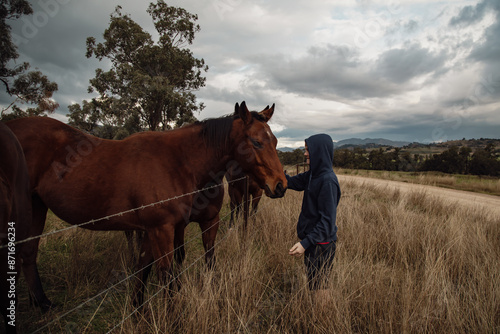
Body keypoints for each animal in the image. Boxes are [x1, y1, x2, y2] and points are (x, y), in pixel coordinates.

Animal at [4, 102, 286, 308]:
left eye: (275, 142)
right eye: (256, 142)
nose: (280, 184)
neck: (180, 162)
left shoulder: (177, 227)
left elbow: (154, 269)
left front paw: (139, 308)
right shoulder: (161, 229)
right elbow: (165, 275)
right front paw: (171, 314)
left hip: (37, 206)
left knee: (27, 253)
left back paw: (43, 304)